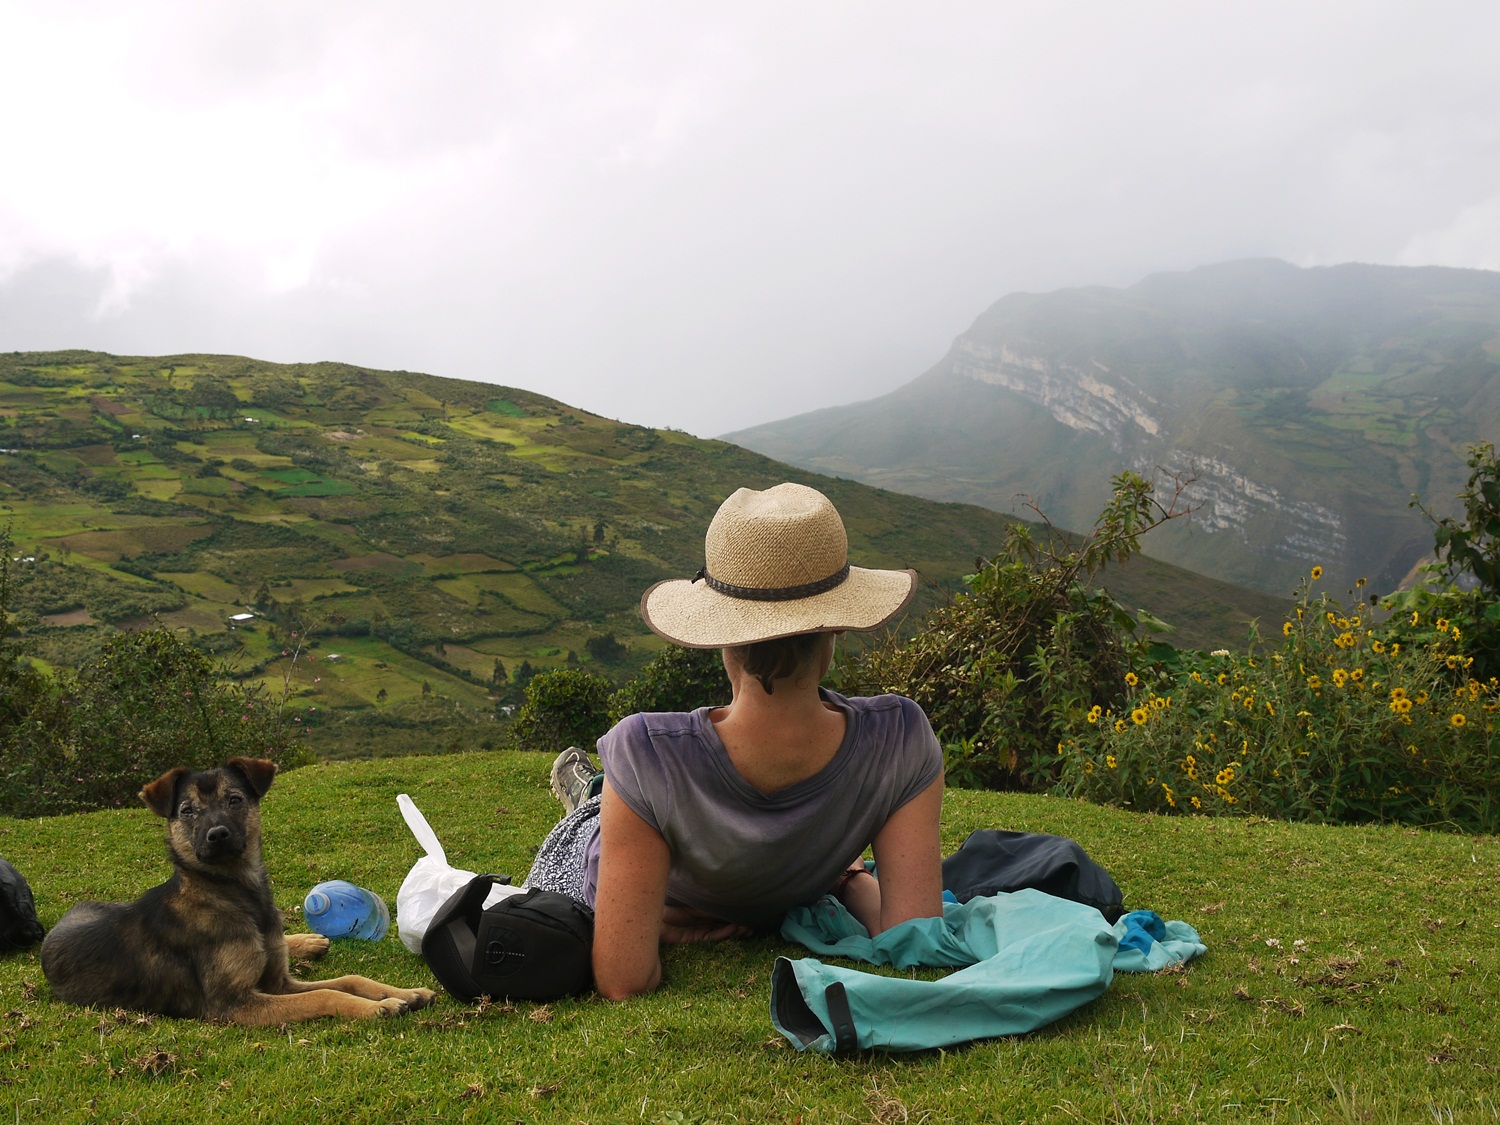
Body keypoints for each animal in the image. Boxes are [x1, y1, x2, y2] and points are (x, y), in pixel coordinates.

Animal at [41, 757, 437, 1025]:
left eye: (234, 800)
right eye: (187, 810)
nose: (217, 835)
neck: (237, 895)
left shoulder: (279, 982)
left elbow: (349, 980)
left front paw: (404, 992)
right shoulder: (236, 1005)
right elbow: (326, 994)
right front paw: (380, 1006)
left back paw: (309, 941)